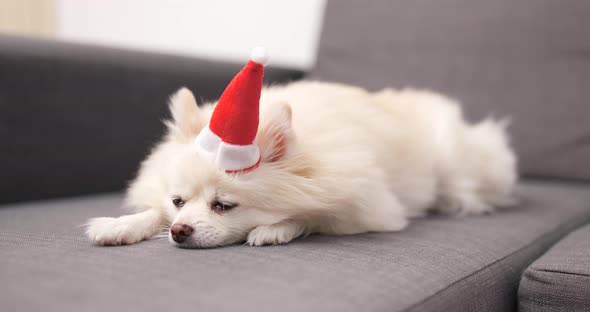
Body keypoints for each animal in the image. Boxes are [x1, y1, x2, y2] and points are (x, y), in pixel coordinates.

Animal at [85, 51, 516, 249]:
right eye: (178, 202)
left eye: (223, 205)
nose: (179, 231)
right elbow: (150, 212)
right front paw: (120, 225)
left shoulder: (368, 206)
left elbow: (314, 217)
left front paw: (275, 228)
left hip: (455, 164)